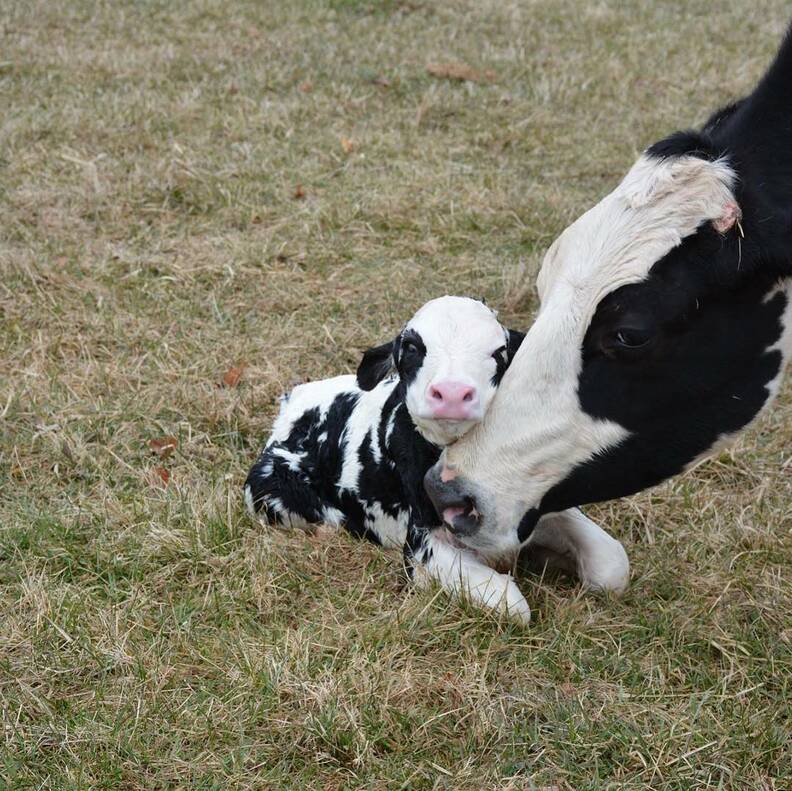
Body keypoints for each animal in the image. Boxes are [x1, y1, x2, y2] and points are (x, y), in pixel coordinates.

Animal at [244, 294, 628, 620]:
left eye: (500, 351)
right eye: (412, 347)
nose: (453, 393)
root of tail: (293, 401)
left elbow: (613, 565)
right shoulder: (421, 547)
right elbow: (512, 605)